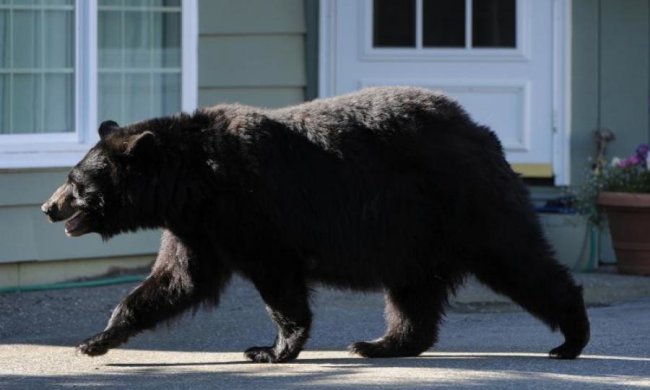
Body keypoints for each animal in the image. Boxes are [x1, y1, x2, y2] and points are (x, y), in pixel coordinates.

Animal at [40, 86, 588, 362]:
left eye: (75, 181)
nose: (48, 207)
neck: (193, 182)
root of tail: (485, 134)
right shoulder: (197, 226)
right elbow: (176, 280)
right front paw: (95, 339)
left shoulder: (248, 208)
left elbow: (277, 279)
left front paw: (271, 348)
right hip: (414, 231)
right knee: (412, 291)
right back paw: (380, 344)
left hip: (467, 203)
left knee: (519, 260)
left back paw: (571, 337)